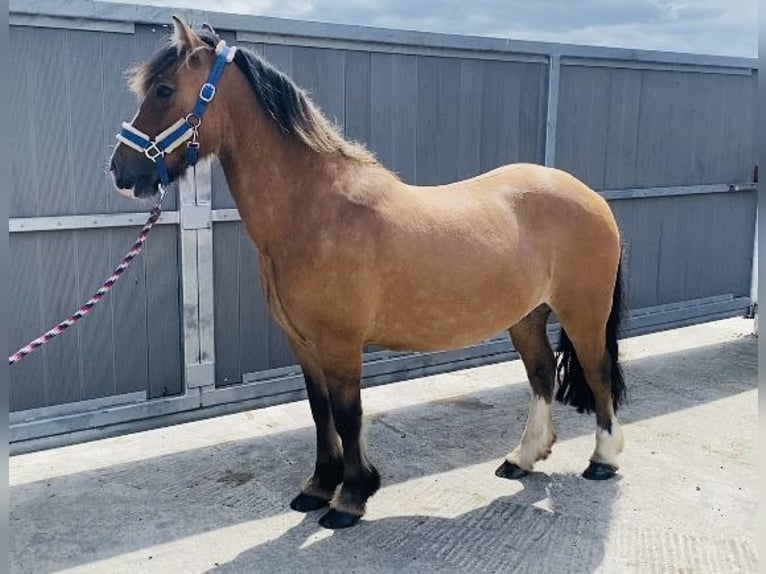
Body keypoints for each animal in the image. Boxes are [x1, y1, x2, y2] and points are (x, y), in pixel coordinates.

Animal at [112, 18, 632, 532]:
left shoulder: (340, 344)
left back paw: (603, 460)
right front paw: (319, 487)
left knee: (597, 373)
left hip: (583, 314)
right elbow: (320, 412)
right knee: (541, 373)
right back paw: (523, 458)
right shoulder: (303, 343)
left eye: (163, 90)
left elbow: (348, 415)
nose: (120, 170)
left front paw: (351, 498)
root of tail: (590, 197)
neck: (316, 211)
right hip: (527, 317)